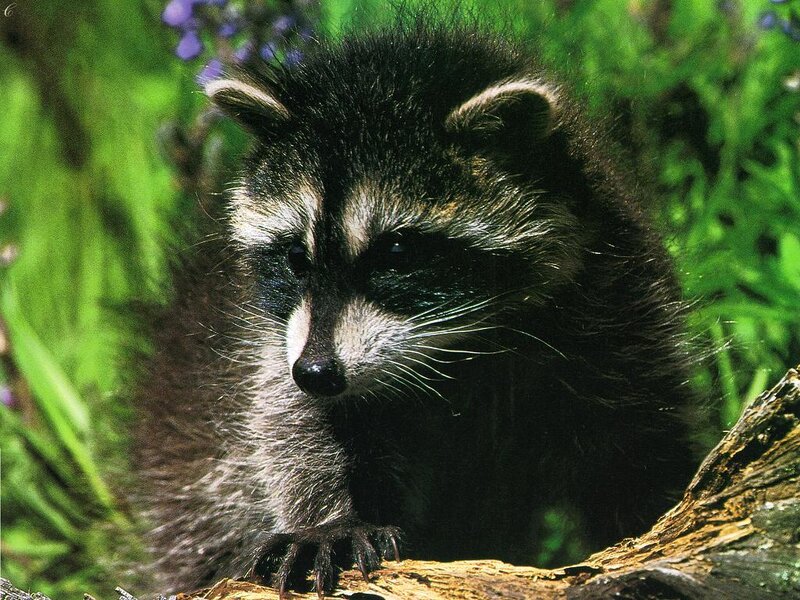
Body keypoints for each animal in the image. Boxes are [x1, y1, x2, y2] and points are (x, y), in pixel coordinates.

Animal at [134, 22, 698, 596]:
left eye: (397, 253)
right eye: (296, 257)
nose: (316, 372)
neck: (461, 351)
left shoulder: (614, 297)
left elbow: (638, 436)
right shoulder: (273, 346)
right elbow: (291, 425)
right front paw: (329, 518)